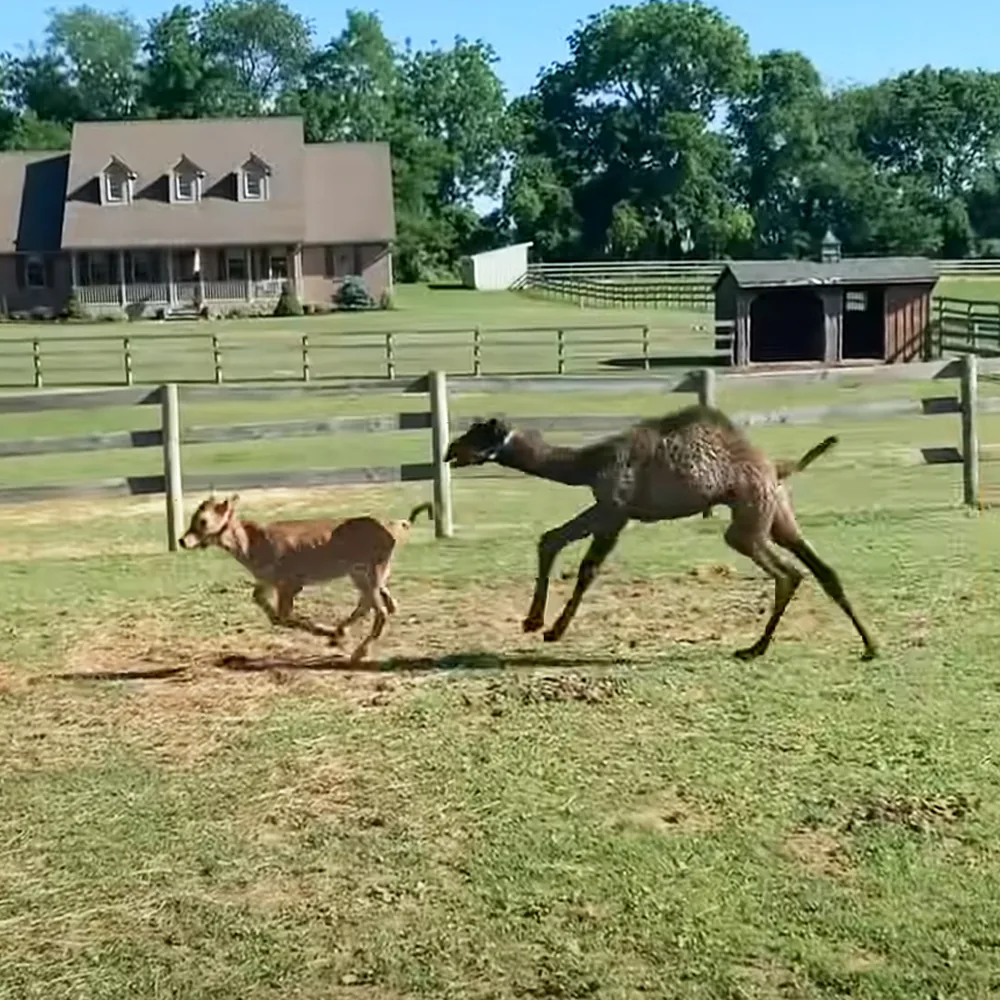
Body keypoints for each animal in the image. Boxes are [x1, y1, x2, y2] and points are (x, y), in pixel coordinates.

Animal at [444, 404, 877, 661]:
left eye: (477, 434)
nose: (449, 451)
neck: (588, 463)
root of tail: (779, 467)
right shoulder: (608, 505)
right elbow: (550, 538)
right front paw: (532, 622)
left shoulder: (616, 508)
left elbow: (587, 569)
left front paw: (553, 630)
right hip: (777, 514)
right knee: (821, 569)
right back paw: (868, 646)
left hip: (749, 517)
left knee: (789, 573)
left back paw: (755, 648)